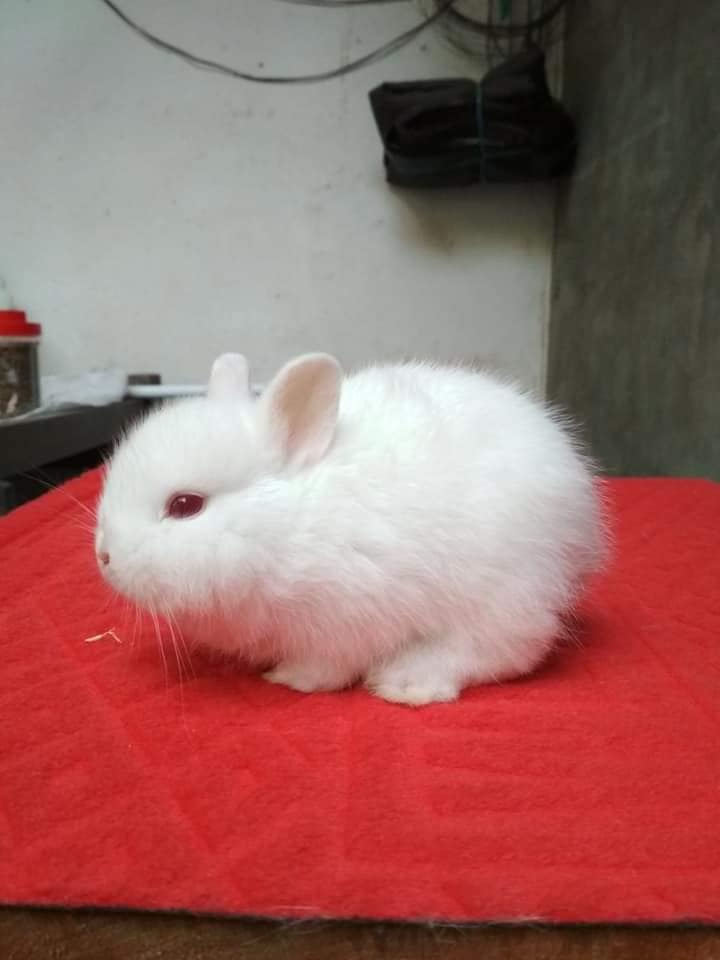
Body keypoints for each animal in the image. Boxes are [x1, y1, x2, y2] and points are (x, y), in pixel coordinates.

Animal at [95, 352, 607, 706]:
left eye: (185, 505)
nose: (104, 558)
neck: (292, 524)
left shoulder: (344, 620)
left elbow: (326, 667)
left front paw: (289, 679)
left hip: (504, 592)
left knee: (501, 649)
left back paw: (408, 683)